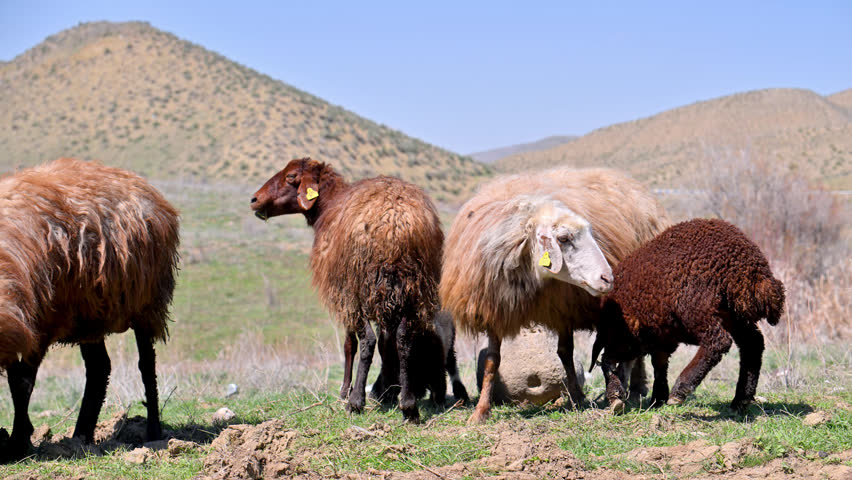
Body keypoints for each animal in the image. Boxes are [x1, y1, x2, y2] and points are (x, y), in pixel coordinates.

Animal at [0, 158, 179, 461]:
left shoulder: (40, 321)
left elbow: (21, 382)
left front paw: (18, 443)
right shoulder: (20, 328)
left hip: (146, 305)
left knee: (146, 365)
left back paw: (153, 431)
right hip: (90, 313)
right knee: (99, 368)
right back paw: (81, 435)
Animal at [250, 158, 443, 422]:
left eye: (290, 176)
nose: (254, 199)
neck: (329, 204)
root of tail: (396, 223)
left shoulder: (341, 293)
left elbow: (349, 344)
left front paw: (346, 391)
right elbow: (387, 344)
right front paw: (387, 392)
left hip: (358, 288)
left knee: (367, 341)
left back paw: (355, 402)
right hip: (413, 290)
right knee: (404, 340)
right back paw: (409, 406)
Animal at [440, 168, 670, 424]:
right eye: (563, 239)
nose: (608, 278)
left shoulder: (564, 305)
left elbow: (566, 353)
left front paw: (577, 398)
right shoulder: (498, 307)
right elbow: (492, 361)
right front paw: (481, 411)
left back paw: (636, 390)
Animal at [591, 218, 785, 412]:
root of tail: (751, 266)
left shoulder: (626, 334)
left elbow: (609, 360)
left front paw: (617, 396)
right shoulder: (658, 335)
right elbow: (659, 362)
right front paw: (657, 398)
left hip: (696, 308)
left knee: (718, 341)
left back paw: (681, 389)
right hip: (733, 315)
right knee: (753, 344)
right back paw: (740, 400)